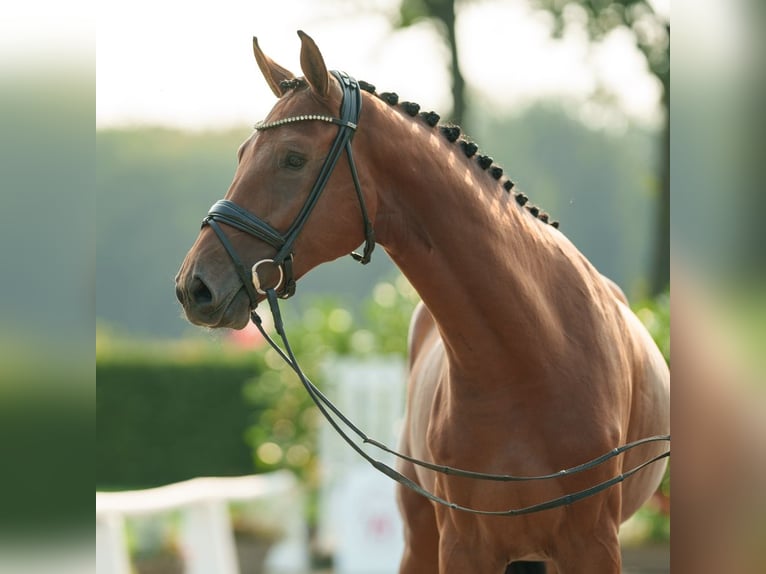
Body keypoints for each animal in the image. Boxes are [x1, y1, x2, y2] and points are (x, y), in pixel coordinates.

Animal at [177, 32, 668, 574]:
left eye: (293, 158)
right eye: (243, 152)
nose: (194, 286)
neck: (534, 356)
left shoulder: (593, 545)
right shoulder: (463, 544)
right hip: (420, 535)